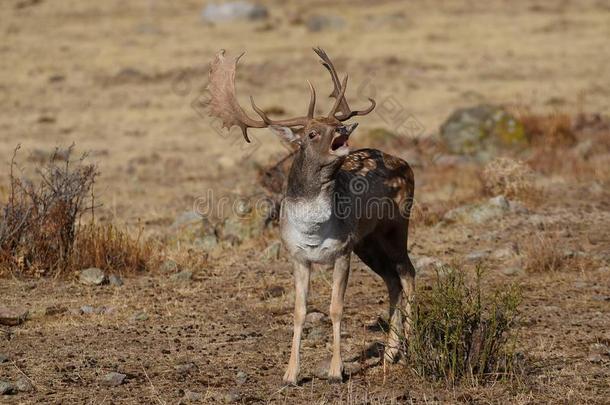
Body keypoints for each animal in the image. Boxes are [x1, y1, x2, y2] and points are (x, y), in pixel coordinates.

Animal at [205, 47, 414, 382]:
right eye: (313, 132)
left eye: (333, 123)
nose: (342, 129)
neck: (313, 230)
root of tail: (406, 164)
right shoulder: (298, 256)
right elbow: (299, 311)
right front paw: (290, 374)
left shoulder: (342, 252)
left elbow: (336, 308)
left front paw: (336, 371)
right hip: (367, 243)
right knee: (392, 280)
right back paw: (391, 354)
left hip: (396, 227)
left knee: (408, 273)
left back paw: (412, 348)